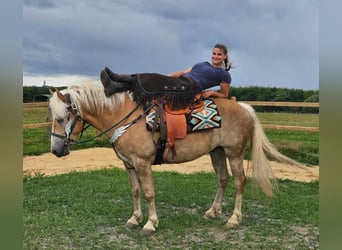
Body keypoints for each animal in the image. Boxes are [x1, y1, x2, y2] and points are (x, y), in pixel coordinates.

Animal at [49, 80, 300, 234]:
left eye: (63, 118)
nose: (55, 150)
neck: (125, 117)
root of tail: (244, 108)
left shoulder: (142, 163)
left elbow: (149, 193)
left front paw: (150, 224)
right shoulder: (129, 164)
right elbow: (136, 191)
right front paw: (134, 219)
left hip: (234, 152)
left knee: (239, 182)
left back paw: (234, 219)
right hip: (217, 152)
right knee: (223, 179)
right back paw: (212, 212)